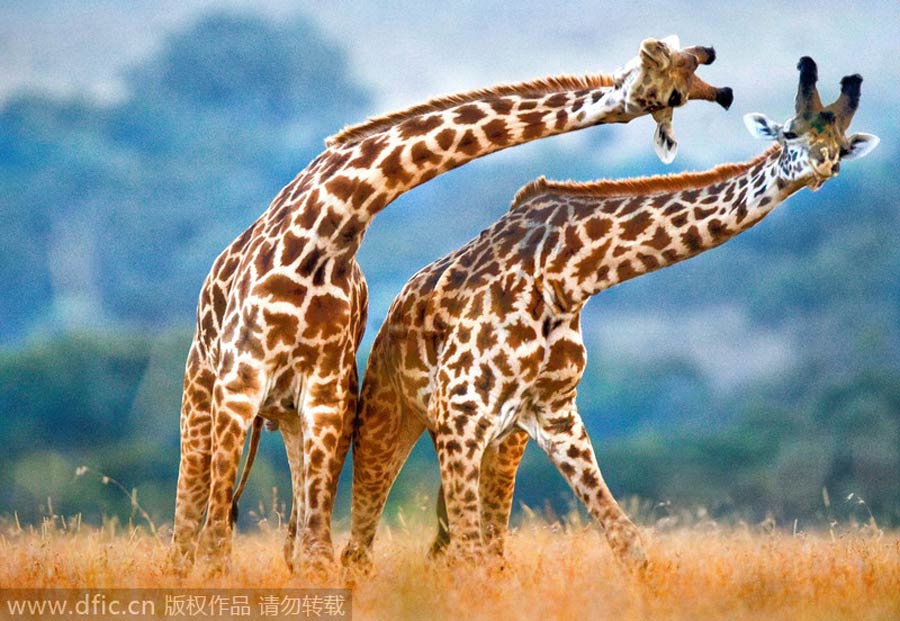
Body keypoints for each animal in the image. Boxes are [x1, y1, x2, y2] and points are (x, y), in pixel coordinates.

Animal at [170, 35, 733, 575]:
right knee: (189, 523)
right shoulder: (239, 382)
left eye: (691, 83)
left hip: (291, 415)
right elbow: (217, 540)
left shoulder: (326, 395)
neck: (328, 233)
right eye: (671, 89)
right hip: (204, 393)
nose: (725, 94)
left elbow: (315, 546)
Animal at [340, 57, 878, 570]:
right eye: (790, 133)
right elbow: (470, 553)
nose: (824, 166)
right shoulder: (460, 411)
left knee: (462, 546)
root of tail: (393, 310)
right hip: (391, 414)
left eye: (841, 144)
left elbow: (626, 541)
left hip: (501, 441)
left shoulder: (554, 414)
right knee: (363, 547)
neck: (568, 276)